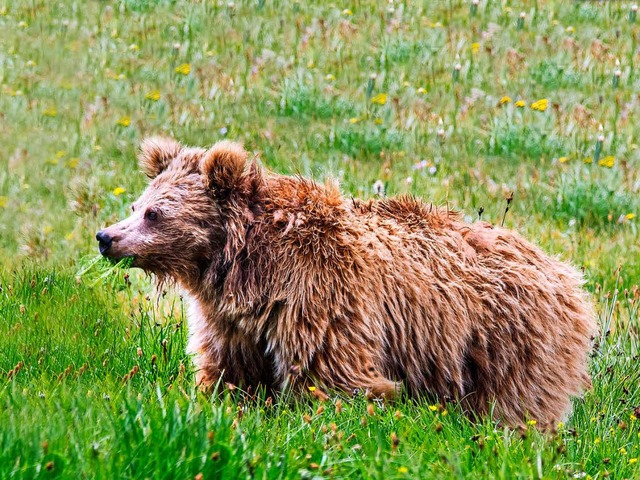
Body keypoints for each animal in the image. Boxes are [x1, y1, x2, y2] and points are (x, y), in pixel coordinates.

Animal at [97, 138, 596, 428]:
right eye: (137, 204)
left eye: (154, 213)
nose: (106, 238)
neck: (244, 265)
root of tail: (566, 273)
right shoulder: (232, 319)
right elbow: (229, 371)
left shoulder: (318, 295)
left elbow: (333, 374)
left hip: (509, 339)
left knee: (517, 403)